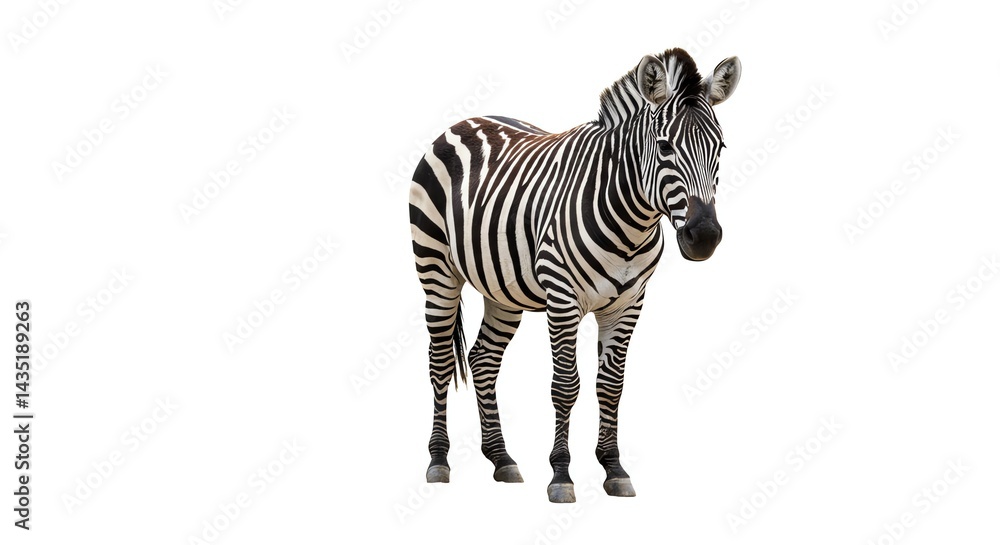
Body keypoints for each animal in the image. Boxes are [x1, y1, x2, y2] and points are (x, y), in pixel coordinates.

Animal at [408, 48, 741, 503]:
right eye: (664, 147)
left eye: (719, 147)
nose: (704, 237)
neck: (631, 220)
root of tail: (463, 123)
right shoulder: (563, 298)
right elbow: (565, 386)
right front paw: (561, 475)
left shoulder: (628, 303)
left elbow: (611, 385)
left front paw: (614, 468)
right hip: (436, 270)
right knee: (440, 361)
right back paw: (439, 460)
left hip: (501, 290)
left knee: (483, 359)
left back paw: (502, 459)